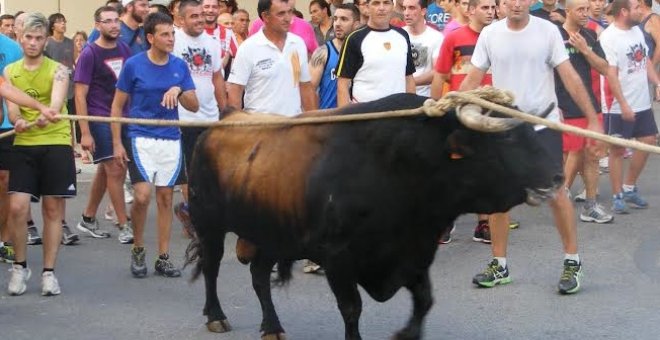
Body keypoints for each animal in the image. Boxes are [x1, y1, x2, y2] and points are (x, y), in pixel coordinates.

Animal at [184, 93, 564, 340]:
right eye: (510, 139)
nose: (557, 177)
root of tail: (219, 124)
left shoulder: (413, 254)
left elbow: (425, 299)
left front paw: (406, 334)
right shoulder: (338, 259)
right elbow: (352, 309)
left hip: (272, 235)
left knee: (260, 277)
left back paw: (272, 327)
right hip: (209, 223)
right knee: (212, 268)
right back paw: (216, 316)